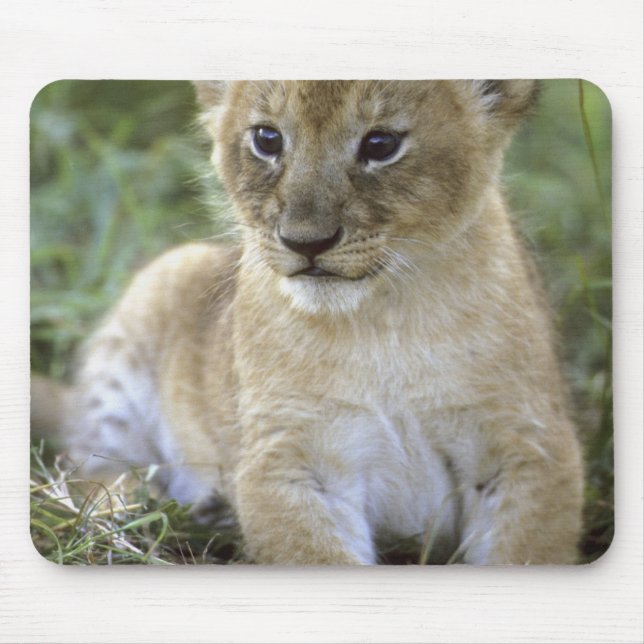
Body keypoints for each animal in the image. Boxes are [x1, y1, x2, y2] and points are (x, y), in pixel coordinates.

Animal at [32, 80, 584, 564]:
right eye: (267, 138)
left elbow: (525, 553)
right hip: (149, 309)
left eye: (381, 144)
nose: (306, 242)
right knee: (86, 470)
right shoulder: (287, 460)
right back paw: (137, 513)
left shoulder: (529, 450)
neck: (384, 321)